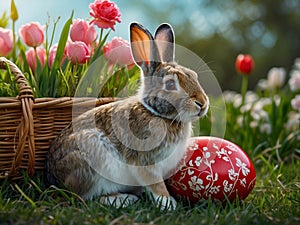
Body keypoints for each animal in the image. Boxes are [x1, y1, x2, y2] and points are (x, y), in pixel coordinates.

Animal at [45, 22, 209, 210]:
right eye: (170, 84)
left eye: (194, 76)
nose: (202, 103)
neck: (155, 113)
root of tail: (53, 178)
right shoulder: (146, 163)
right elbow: (157, 186)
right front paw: (169, 205)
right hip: (93, 161)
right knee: (84, 198)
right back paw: (124, 199)